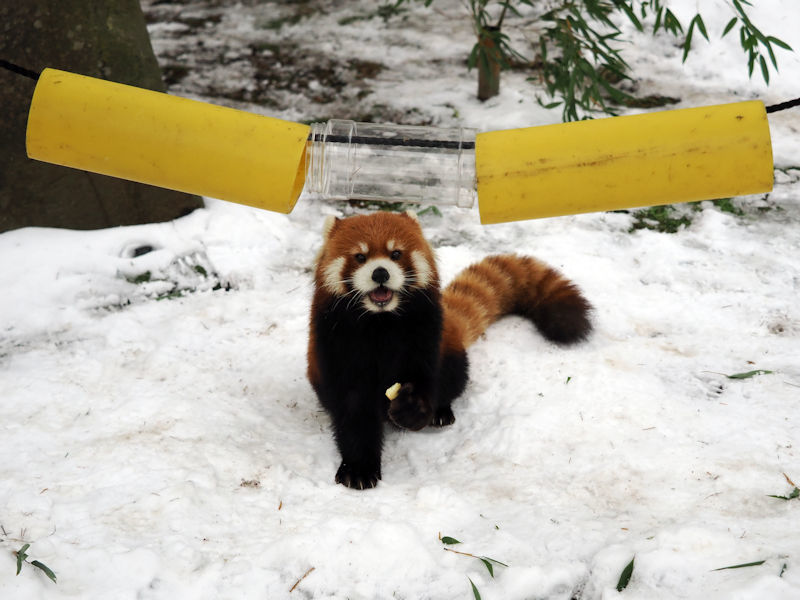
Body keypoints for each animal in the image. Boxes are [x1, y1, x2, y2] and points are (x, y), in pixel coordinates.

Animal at [310, 211, 592, 488]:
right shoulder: (339, 343)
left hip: (451, 350)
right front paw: (358, 467)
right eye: (360, 257)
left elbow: (424, 375)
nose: (380, 273)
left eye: (396, 254)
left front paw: (412, 408)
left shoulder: (425, 332)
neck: (381, 320)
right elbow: (353, 407)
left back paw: (440, 412)